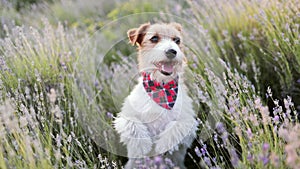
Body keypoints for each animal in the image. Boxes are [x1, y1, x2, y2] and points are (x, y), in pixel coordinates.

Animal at [113, 22, 198, 169]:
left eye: (177, 40)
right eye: (154, 38)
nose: (172, 51)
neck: (161, 87)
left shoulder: (190, 124)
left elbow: (177, 125)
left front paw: (163, 145)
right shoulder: (124, 117)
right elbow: (132, 123)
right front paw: (142, 145)